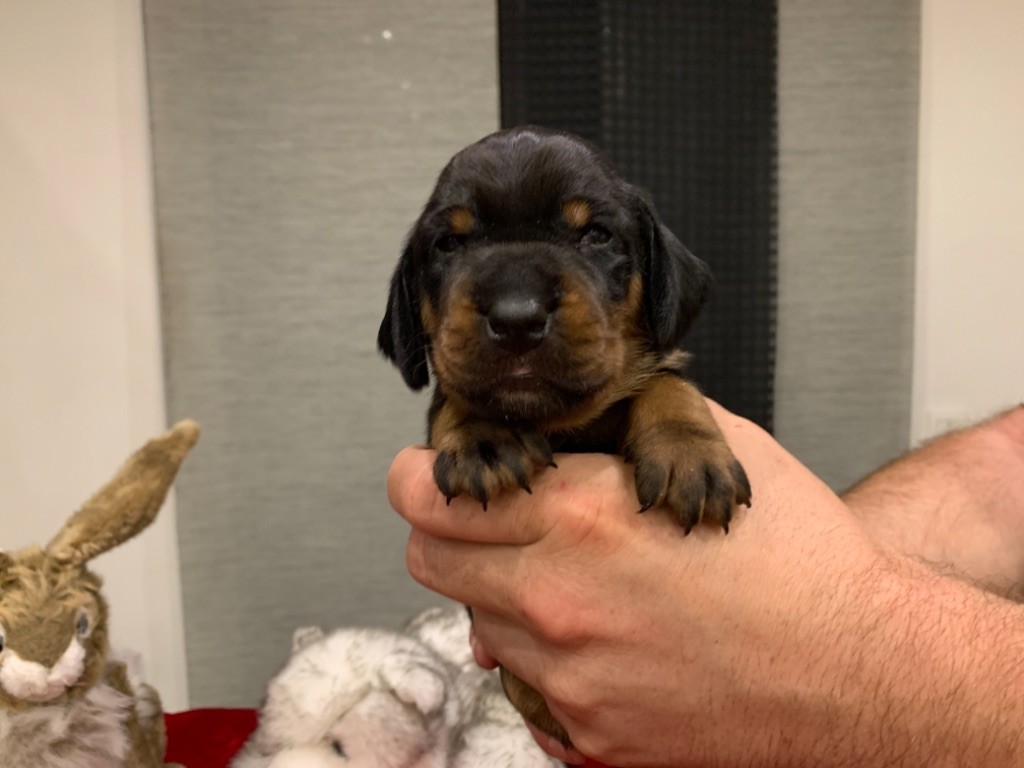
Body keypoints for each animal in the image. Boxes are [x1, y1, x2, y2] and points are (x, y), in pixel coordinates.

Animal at [379, 126, 751, 747]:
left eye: (595, 234)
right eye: (448, 245)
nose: (516, 318)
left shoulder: (652, 371)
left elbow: (665, 383)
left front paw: (689, 454)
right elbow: (458, 397)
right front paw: (484, 437)